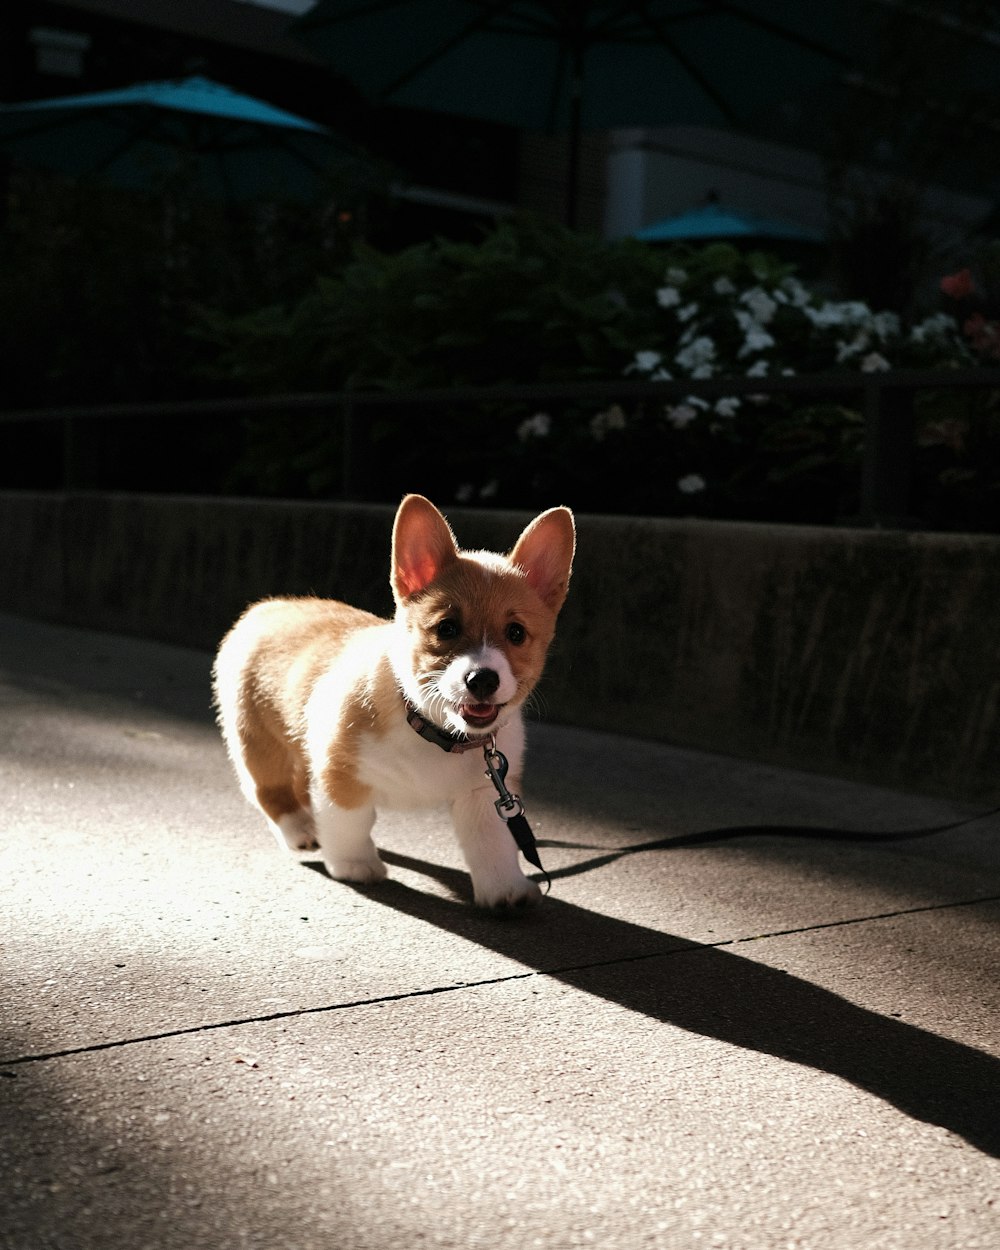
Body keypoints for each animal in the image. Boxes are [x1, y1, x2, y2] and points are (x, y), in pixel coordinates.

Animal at [215, 495, 575, 910]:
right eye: (446, 628)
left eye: (516, 633)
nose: (483, 679)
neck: (431, 728)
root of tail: (266, 607)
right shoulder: (340, 772)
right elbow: (349, 823)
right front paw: (355, 865)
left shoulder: (485, 795)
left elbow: (493, 845)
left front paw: (507, 890)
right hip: (257, 739)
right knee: (268, 789)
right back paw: (301, 829)